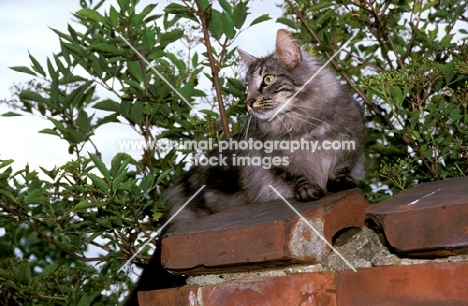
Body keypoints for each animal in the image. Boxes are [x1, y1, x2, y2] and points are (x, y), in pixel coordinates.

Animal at [125, 29, 366, 306]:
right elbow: (297, 176)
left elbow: (340, 169)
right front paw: (309, 191)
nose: (249, 102)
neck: (302, 124)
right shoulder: (275, 162)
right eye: (246, 87)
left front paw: (341, 183)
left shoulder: (351, 146)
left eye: (268, 80)